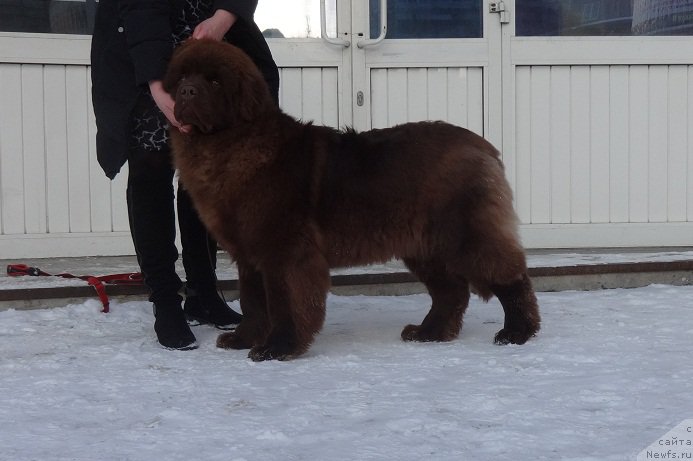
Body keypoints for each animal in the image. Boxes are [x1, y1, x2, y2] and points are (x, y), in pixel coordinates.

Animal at [164, 39, 540, 362]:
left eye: (214, 81)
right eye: (182, 78)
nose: (187, 91)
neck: (232, 144)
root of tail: (482, 145)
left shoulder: (284, 251)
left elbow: (284, 301)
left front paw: (278, 347)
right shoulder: (249, 253)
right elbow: (253, 301)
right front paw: (244, 338)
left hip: (465, 232)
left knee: (508, 275)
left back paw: (517, 332)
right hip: (424, 245)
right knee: (451, 291)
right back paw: (428, 332)